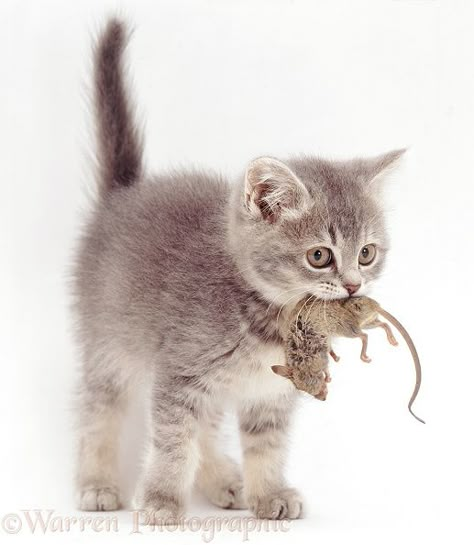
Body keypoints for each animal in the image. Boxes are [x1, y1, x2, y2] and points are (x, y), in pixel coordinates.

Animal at [73, 19, 404, 520]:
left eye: (366, 253)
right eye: (319, 256)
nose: (352, 285)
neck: (270, 319)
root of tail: (124, 196)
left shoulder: (270, 392)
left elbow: (266, 445)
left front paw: (268, 494)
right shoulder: (180, 374)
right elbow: (174, 444)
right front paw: (162, 501)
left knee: (208, 426)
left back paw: (223, 481)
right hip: (109, 344)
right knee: (100, 412)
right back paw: (97, 483)